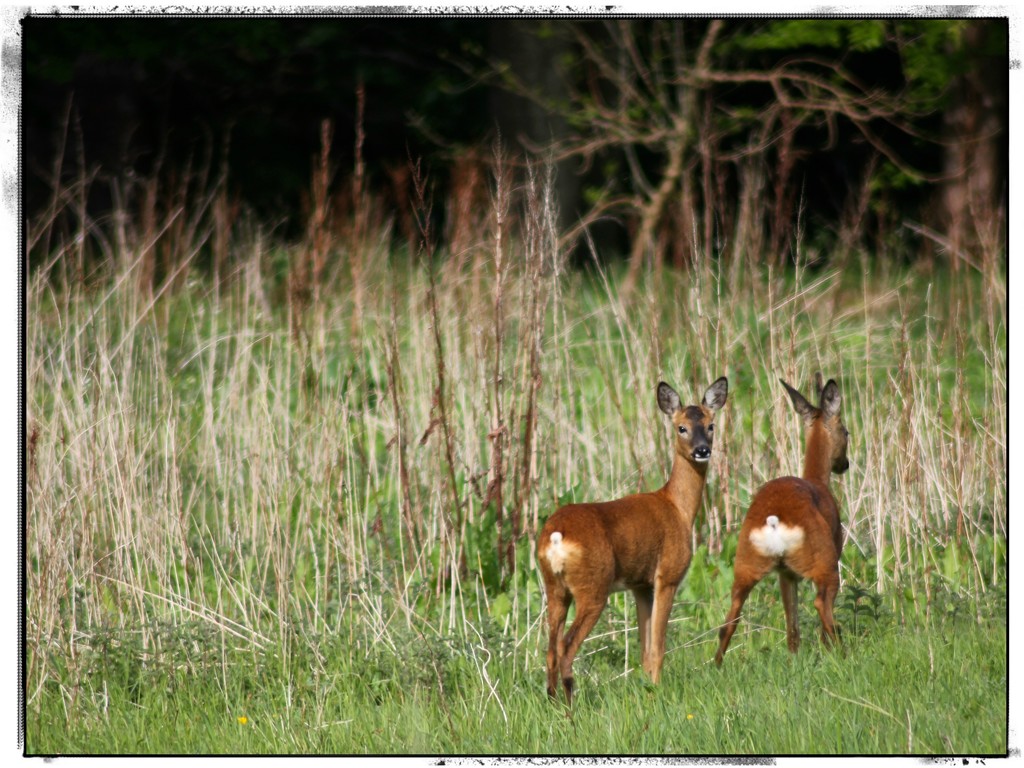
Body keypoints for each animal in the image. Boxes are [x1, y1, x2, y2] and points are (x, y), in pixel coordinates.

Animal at [536, 376, 729, 708]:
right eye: (681, 427)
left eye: (711, 424)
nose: (702, 450)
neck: (678, 508)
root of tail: (556, 536)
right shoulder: (667, 576)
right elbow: (659, 647)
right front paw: (658, 692)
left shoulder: (640, 585)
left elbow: (645, 650)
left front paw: (648, 688)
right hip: (593, 588)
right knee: (566, 648)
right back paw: (571, 709)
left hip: (555, 589)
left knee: (550, 649)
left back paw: (552, 703)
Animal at [712, 374, 847, 667]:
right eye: (846, 431)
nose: (844, 464)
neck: (817, 481)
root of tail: (774, 521)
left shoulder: (786, 573)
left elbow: (791, 620)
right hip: (824, 561)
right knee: (823, 604)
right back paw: (842, 654)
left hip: (746, 563)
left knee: (730, 619)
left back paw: (716, 666)